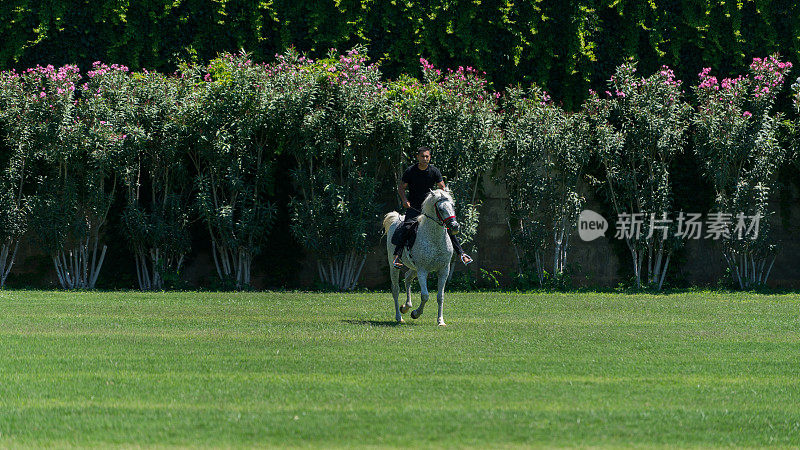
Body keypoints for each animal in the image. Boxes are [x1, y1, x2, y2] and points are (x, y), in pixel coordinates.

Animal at [382, 190, 460, 326]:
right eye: (440, 209)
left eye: (452, 206)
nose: (454, 226)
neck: (434, 239)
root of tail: (397, 219)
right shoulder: (423, 270)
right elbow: (425, 295)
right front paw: (415, 313)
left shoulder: (444, 270)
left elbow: (440, 296)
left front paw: (440, 320)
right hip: (394, 267)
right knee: (395, 290)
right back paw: (399, 316)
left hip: (414, 268)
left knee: (407, 278)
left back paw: (406, 307)